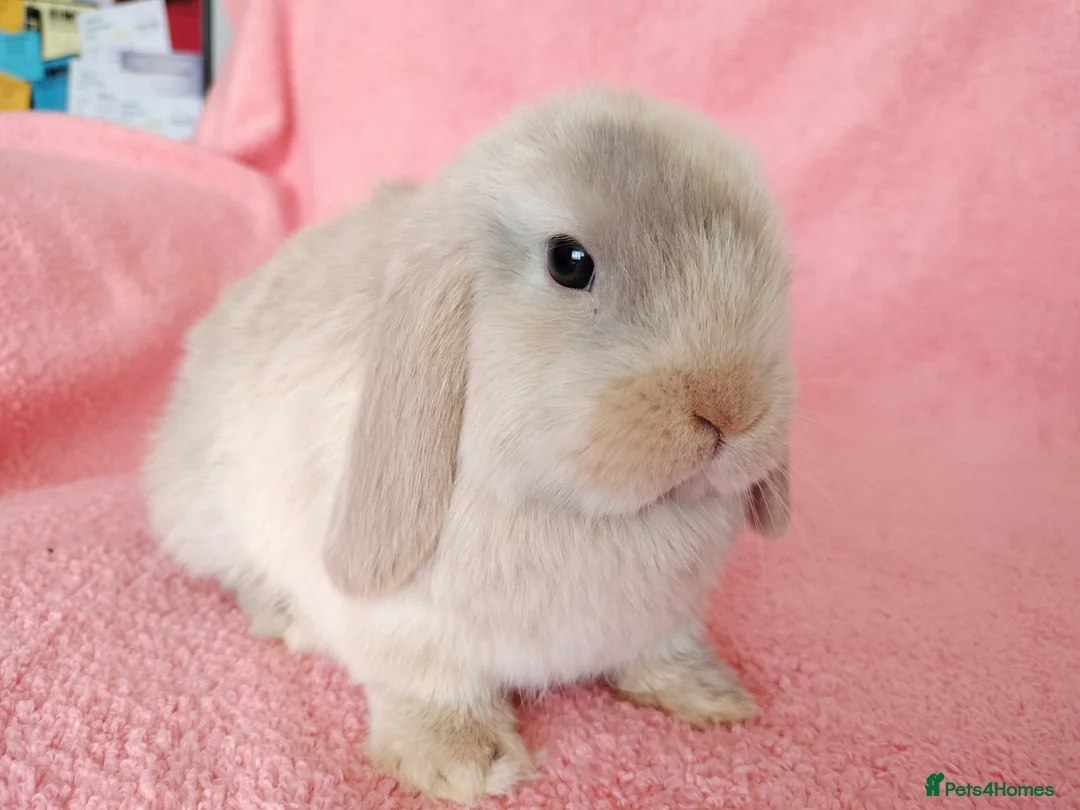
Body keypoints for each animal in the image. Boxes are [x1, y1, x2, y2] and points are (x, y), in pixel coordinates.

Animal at [142, 85, 794, 804]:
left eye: (771, 263)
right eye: (569, 263)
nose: (731, 409)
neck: (586, 514)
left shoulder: (665, 617)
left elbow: (659, 653)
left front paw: (710, 694)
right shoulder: (406, 630)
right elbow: (430, 688)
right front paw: (465, 764)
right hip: (214, 517)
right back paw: (289, 620)